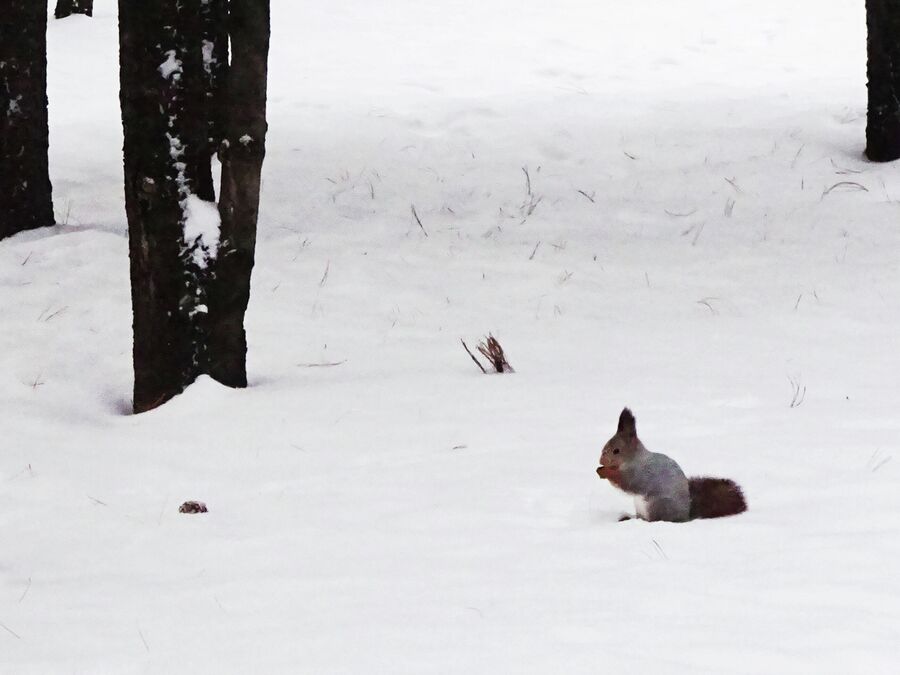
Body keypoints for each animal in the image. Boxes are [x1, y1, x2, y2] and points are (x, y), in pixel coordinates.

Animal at [596, 406, 744, 524]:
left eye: (616, 451)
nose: (601, 461)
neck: (634, 460)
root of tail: (685, 517)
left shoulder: (641, 474)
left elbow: (626, 483)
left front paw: (605, 471)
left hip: (658, 505)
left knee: (654, 520)